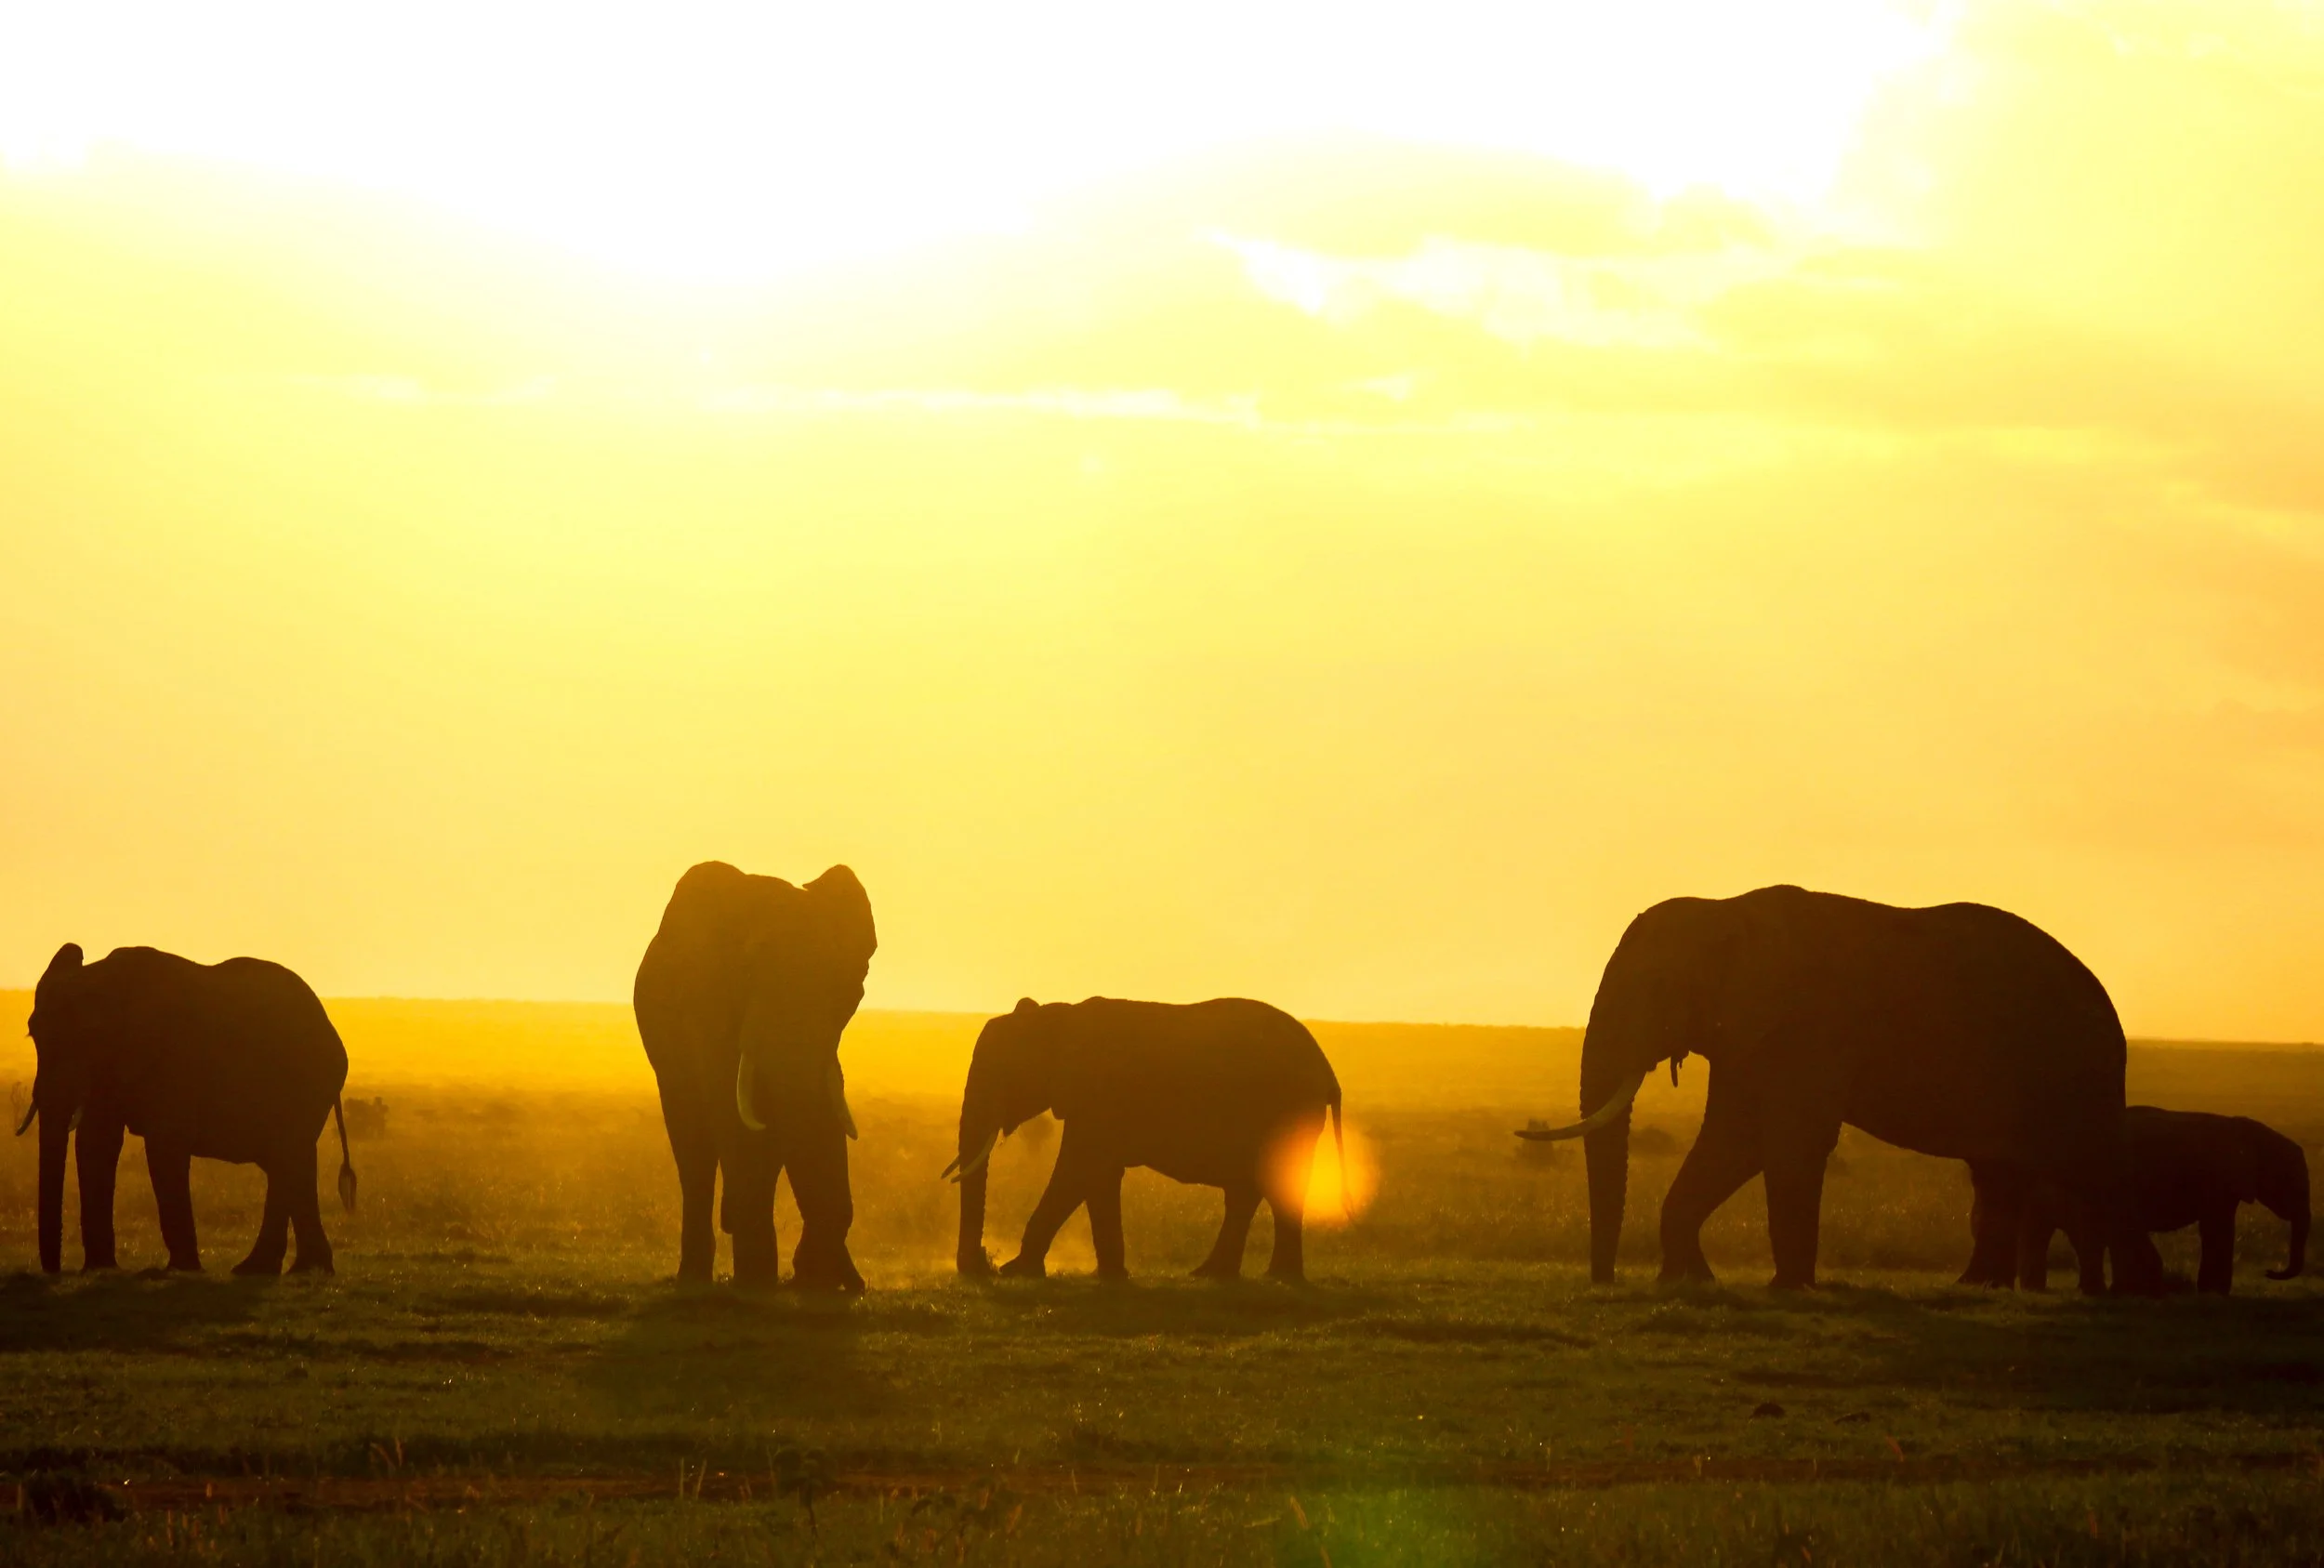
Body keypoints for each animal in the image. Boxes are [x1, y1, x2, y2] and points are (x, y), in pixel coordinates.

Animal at [21, 943, 355, 1275]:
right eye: (32, 1034)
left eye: (89, 1035)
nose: (56, 1271)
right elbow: (96, 1143)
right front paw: (100, 1270)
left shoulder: (174, 1059)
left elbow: (164, 1145)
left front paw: (183, 1270)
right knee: (291, 1162)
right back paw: (290, 1268)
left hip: (307, 1083)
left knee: (288, 1157)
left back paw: (271, 1269)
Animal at [633, 861, 875, 1291]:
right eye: (747, 972)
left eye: (845, 984)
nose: (855, 1286)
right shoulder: (707, 1006)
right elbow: (735, 1120)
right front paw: (757, 1282)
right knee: (692, 1146)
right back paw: (697, 1277)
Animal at [948, 997, 1343, 1282]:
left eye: (1001, 1073)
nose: (980, 1265)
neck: (1057, 1017)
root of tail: (1326, 1068)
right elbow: (1099, 1178)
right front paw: (1111, 1277)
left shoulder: (1097, 1096)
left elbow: (1078, 1171)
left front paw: (1015, 1271)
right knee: (1246, 1193)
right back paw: (1214, 1275)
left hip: (1289, 1112)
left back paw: (1275, 1278)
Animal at [1517, 885, 2163, 1293]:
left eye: (1655, 986)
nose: (1606, 1282)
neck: (1725, 909)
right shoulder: (1750, 1035)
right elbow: (1733, 1141)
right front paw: (1689, 1280)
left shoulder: (1810, 1025)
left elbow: (1788, 1143)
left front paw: (1787, 1288)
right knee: (1999, 1173)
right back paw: (1979, 1287)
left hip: (2072, 1066)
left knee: (2097, 1168)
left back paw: (2138, 1293)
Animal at [1967, 1107, 2308, 1295]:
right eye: (2289, 1177)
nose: (2270, 1272)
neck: (2247, 1128)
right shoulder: (2219, 1178)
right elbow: (2217, 1229)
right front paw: (2215, 1295)